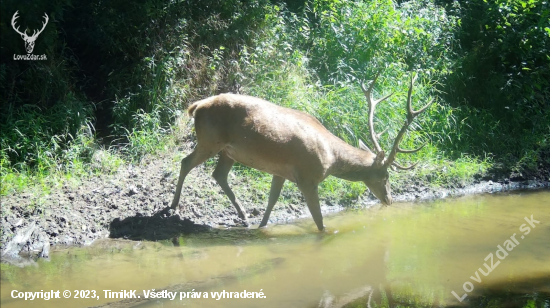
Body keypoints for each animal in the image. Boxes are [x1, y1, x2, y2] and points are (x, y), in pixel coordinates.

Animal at [170, 73, 434, 230]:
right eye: (386, 176)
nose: (390, 200)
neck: (331, 158)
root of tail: (196, 106)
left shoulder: (280, 172)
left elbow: (271, 202)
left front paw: (262, 227)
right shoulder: (308, 177)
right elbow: (318, 220)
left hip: (227, 151)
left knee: (218, 175)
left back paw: (244, 216)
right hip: (210, 140)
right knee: (185, 162)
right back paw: (173, 206)